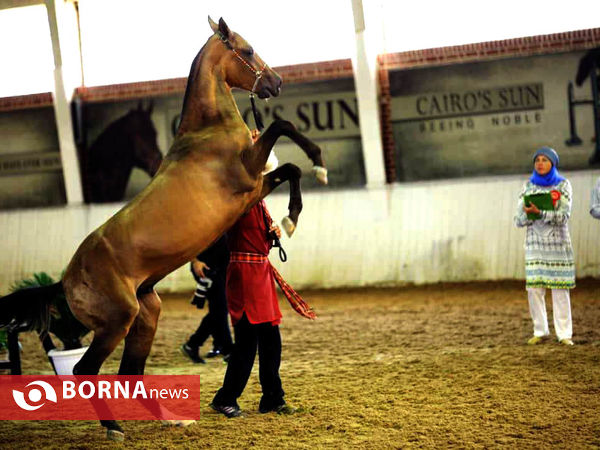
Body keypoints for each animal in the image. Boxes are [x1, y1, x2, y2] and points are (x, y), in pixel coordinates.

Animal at [1, 16, 328, 440]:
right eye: (249, 49)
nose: (276, 83)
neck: (206, 132)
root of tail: (65, 280)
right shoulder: (248, 174)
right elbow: (282, 127)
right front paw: (317, 167)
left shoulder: (253, 187)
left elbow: (289, 168)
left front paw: (290, 216)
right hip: (117, 322)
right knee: (86, 370)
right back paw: (114, 428)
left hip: (147, 313)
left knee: (131, 373)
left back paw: (170, 418)